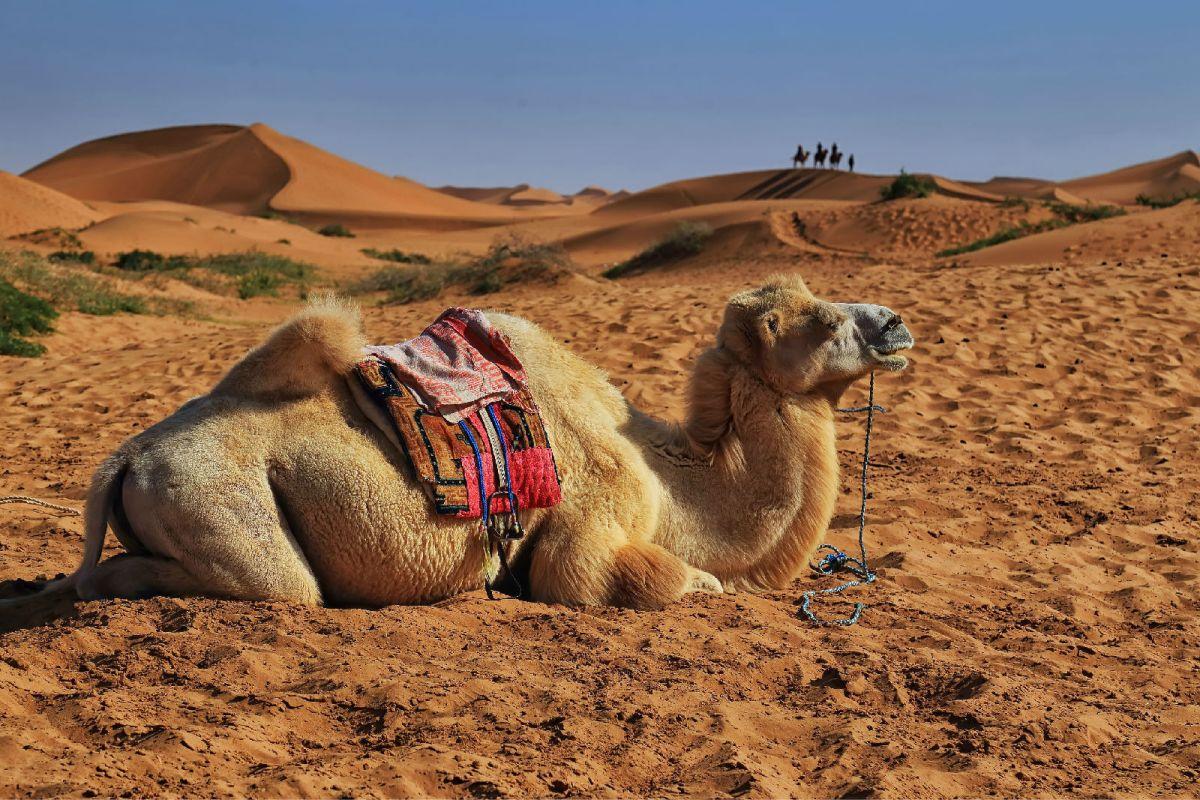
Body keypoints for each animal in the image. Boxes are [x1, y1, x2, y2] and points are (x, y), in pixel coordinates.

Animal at [4, 275, 912, 614]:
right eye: (811, 321)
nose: (895, 323)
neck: (670, 481)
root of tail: (123, 458)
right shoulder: (587, 532)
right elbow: (668, 583)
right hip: (219, 507)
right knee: (262, 585)